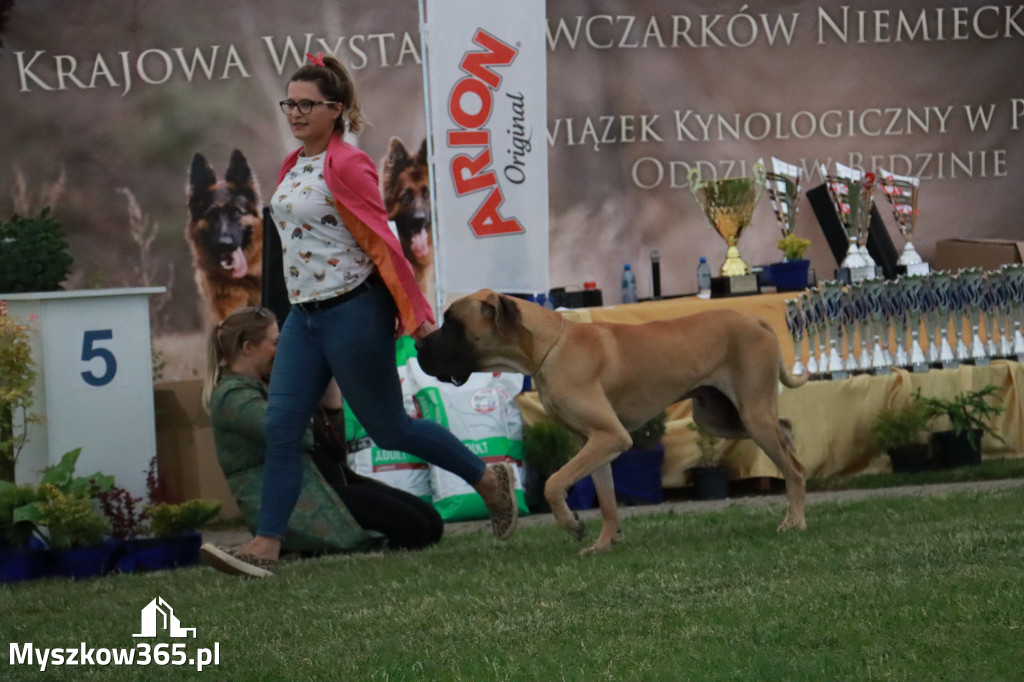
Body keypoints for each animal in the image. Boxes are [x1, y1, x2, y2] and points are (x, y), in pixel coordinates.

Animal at [415, 288, 806, 557]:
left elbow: (553, 484)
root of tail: (755, 320)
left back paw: (796, 521)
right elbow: (606, 501)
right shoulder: (596, 442)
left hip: (751, 415)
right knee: (787, 432)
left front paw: (573, 525)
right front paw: (604, 544)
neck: (549, 349)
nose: (417, 346)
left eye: (452, 323)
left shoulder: (610, 437)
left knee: (794, 470)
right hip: (720, 417)